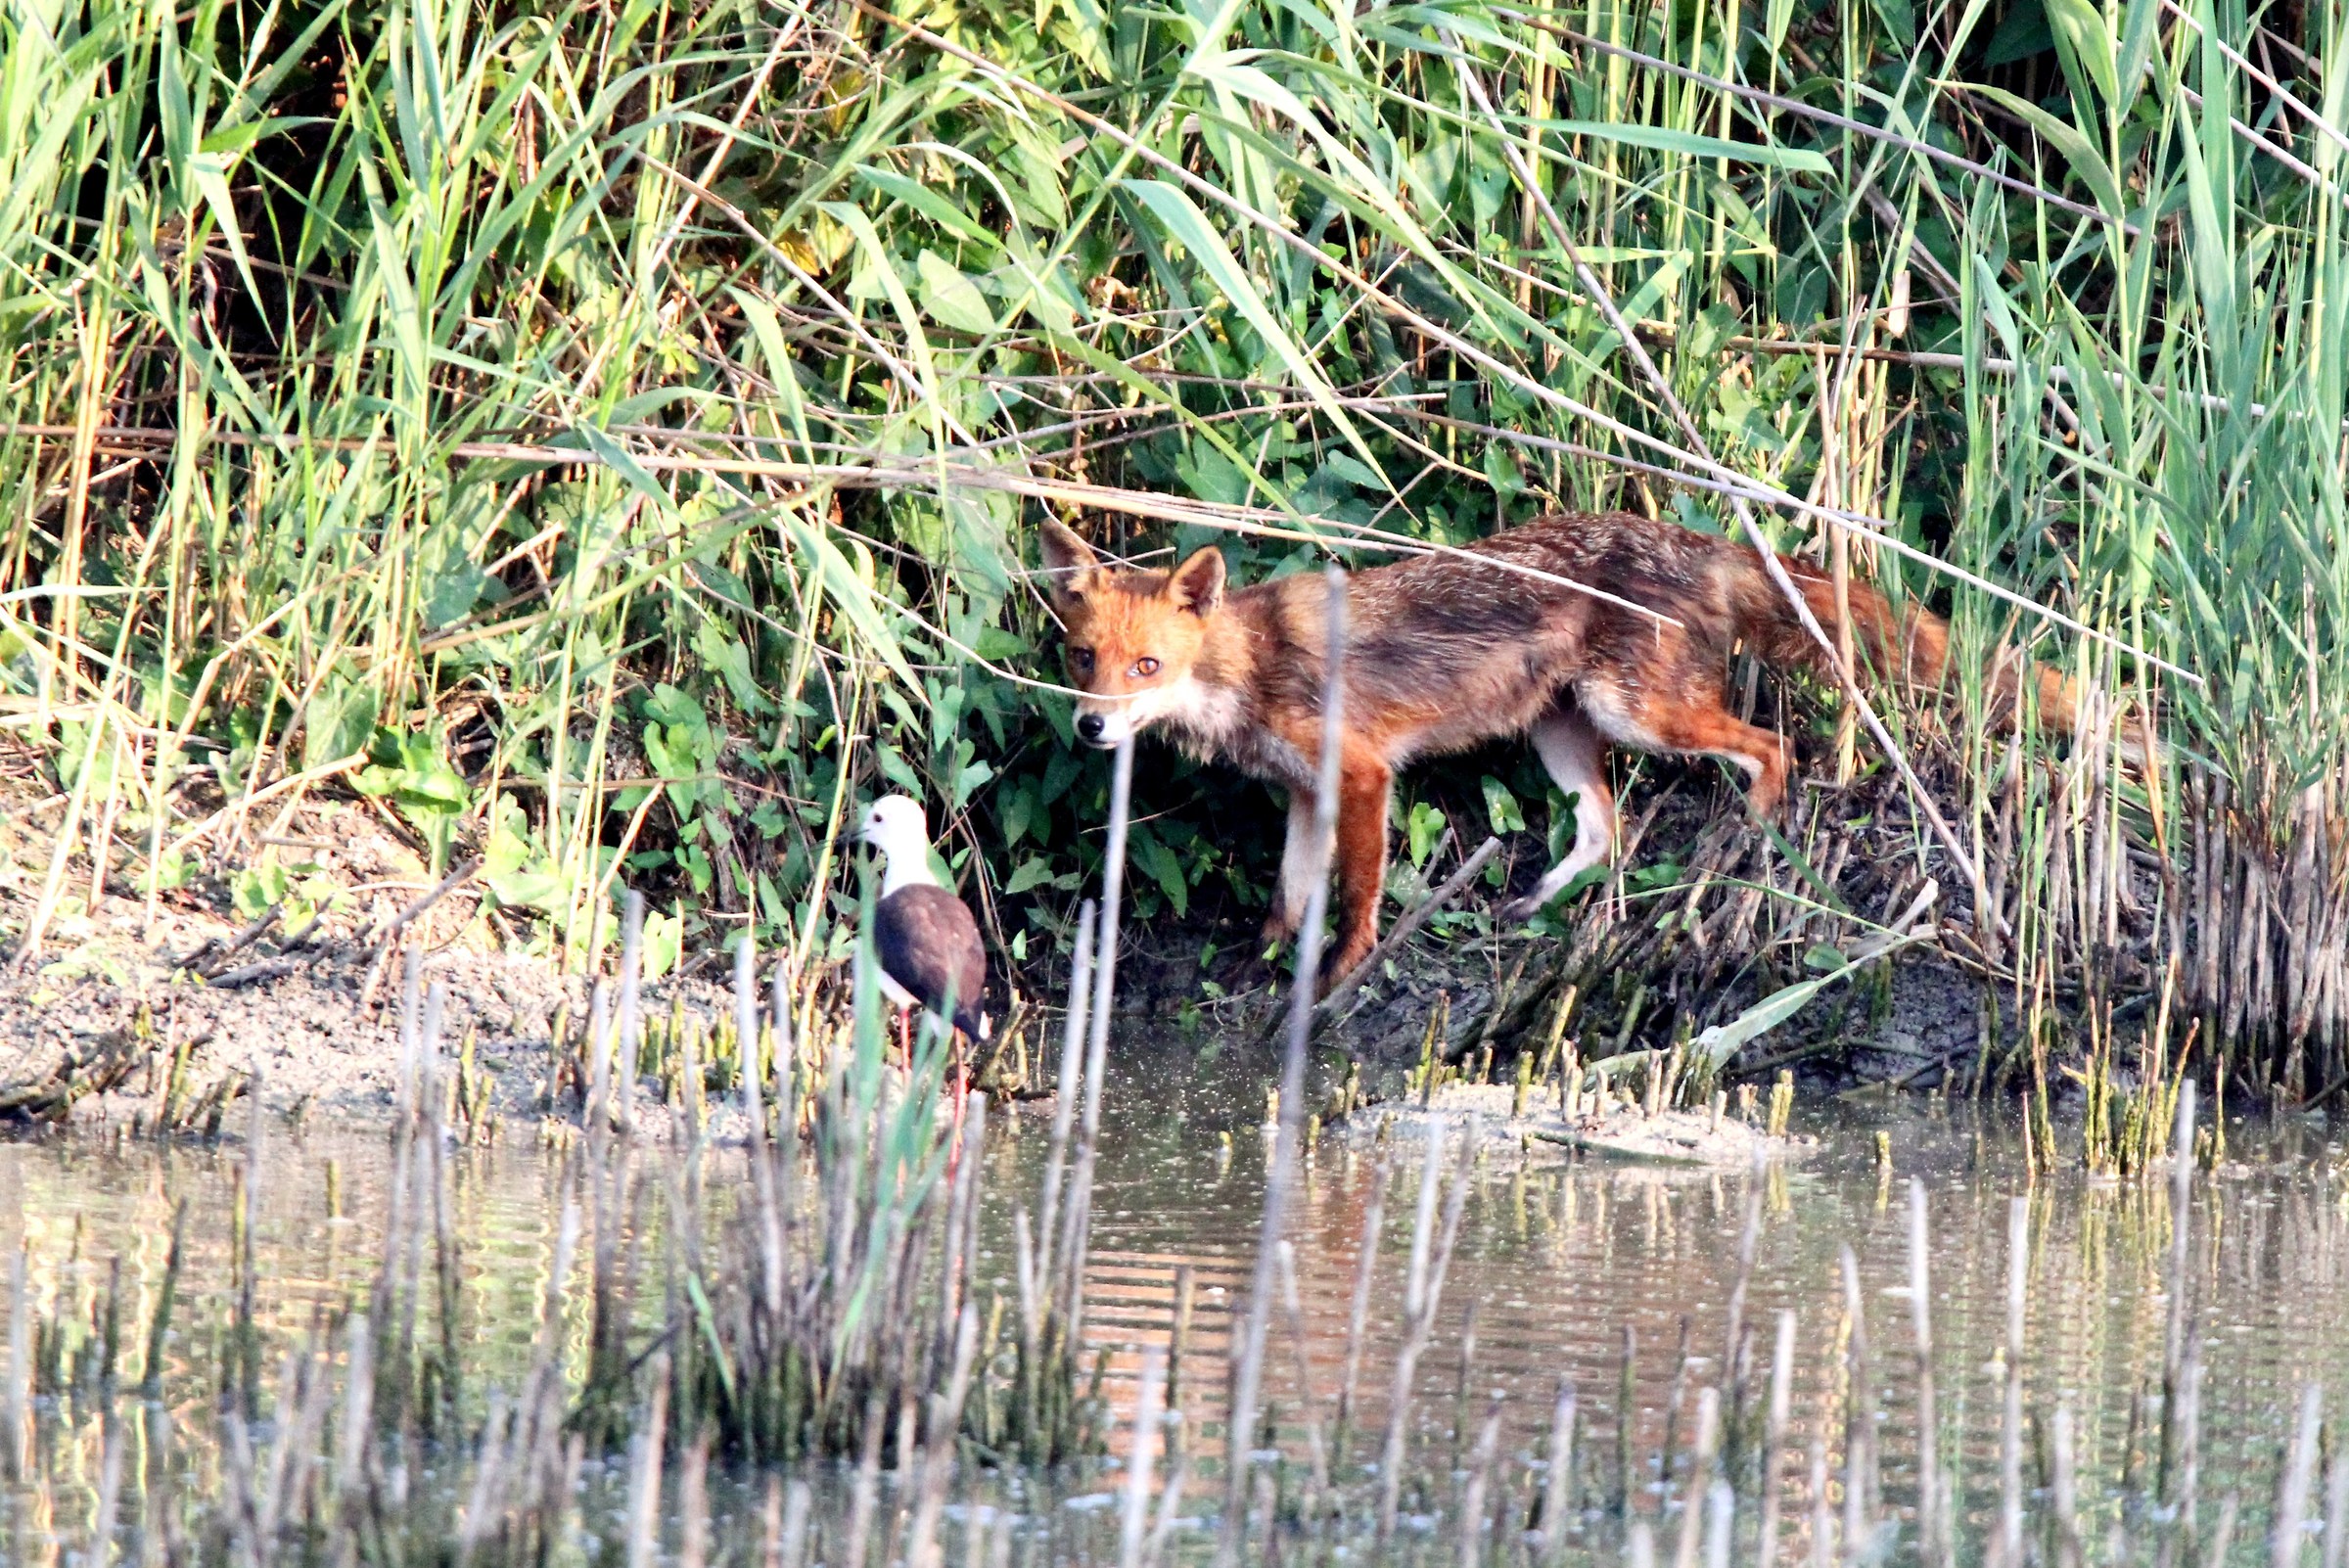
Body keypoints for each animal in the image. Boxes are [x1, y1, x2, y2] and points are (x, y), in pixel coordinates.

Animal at [1038, 510, 2082, 994]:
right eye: (1084, 658)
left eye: (1146, 665)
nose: (1091, 728)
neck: (1248, 667)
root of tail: (1696, 537)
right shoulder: (1305, 793)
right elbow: (1290, 894)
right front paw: (1266, 958)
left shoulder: (1363, 773)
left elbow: (1358, 893)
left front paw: (1341, 975)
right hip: (1562, 731)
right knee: (1605, 832)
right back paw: (1535, 901)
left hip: (1639, 717)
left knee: (1771, 747)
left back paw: (1746, 843)